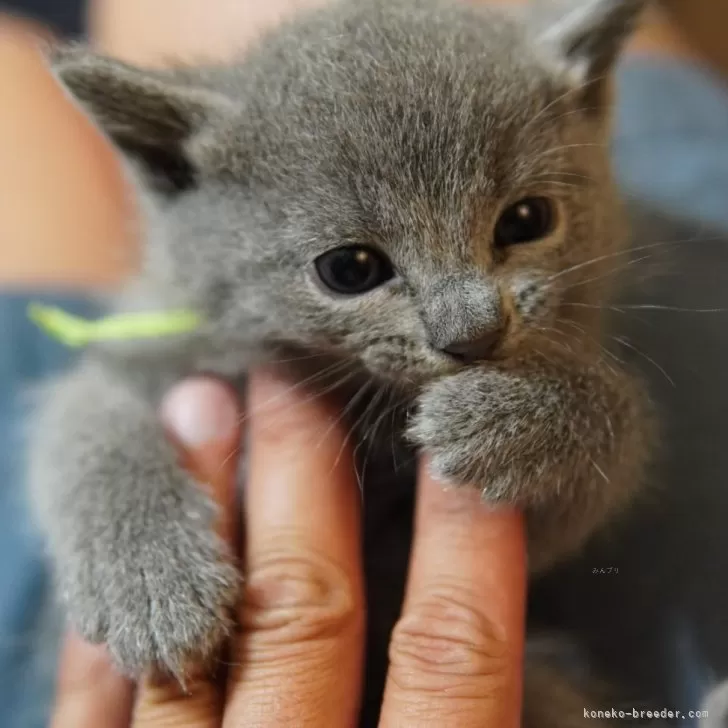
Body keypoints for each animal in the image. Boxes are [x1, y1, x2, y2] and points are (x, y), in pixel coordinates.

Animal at [29, 0, 656, 724]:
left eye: (527, 219)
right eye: (350, 269)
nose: (472, 332)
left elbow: (618, 434)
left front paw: (522, 416)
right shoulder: (141, 342)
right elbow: (85, 428)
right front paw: (151, 584)